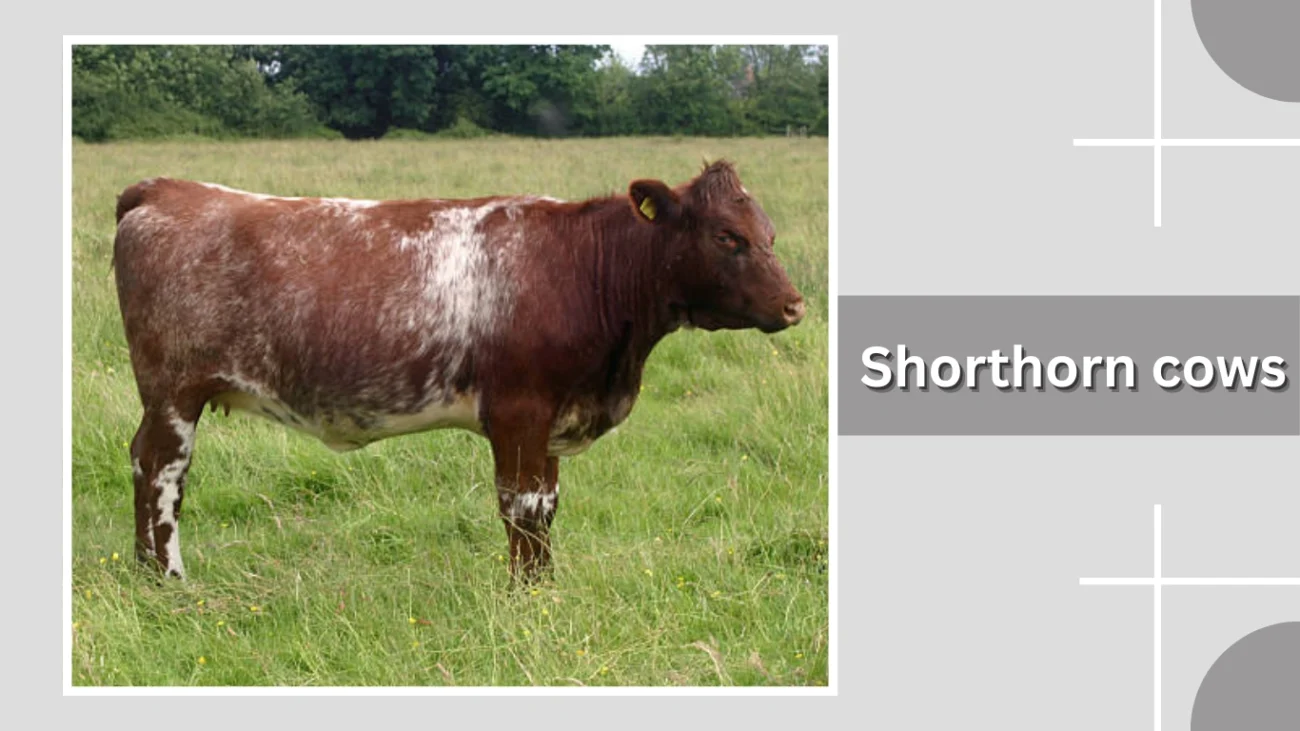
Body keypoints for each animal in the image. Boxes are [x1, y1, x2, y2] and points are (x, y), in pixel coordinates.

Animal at [112, 160, 806, 582]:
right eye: (727, 237)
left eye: (769, 233)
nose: (795, 304)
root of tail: (167, 188)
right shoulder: (521, 410)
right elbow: (523, 507)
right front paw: (528, 597)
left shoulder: (552, 417)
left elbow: (548, 505)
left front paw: (546, 586)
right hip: (173, 391)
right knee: (162, 471)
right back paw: (169, 577)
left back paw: (148, 574)